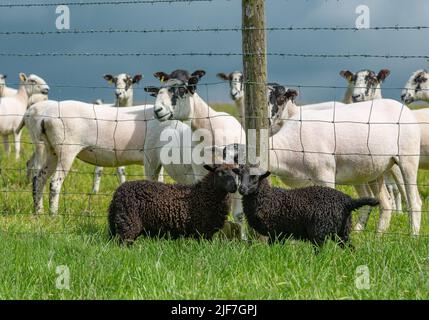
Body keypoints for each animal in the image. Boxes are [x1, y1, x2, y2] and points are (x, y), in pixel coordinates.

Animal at [108, 165, 237, 245]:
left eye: (236, 173)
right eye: (220, 173)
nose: (234, 186)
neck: (204, 194)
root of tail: (117, 193)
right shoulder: (203, 231)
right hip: (128, 223)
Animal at [234, 165, 378, 248]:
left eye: (254, 177)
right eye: (239, 176)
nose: (241, 189)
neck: (268, 197)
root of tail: (348, 201)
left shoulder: (276, 231)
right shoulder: (281, 234)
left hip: (319, 230)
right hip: (342, 232)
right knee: (351, 248)